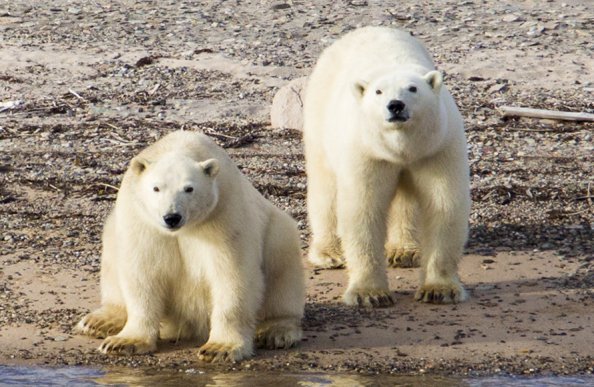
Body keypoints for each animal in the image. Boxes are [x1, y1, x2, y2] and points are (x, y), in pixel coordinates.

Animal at [74, 131, 302, 364]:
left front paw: (220, 348)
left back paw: (275, 331)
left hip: (277, 232)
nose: (172, 217)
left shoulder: (224, 215)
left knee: (282, 270)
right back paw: (101, 321)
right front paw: (124, 342)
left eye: (189, 188)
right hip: (114, 230)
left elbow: (232, 275)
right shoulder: (141, 220)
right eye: (156, 188)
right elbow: (142, 273)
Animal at [302, 25, 470, 308]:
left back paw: (404, 251)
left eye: (413, 88)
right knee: (326, 188)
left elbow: (443, 206)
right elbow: (363, 209)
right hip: (320, 116)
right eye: (378, 92)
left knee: (407, 199)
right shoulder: (367, 154)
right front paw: (369, 294)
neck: (400, 149)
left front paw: (438, 289)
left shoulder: (437, 150)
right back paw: (330, 253)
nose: (395, 105)